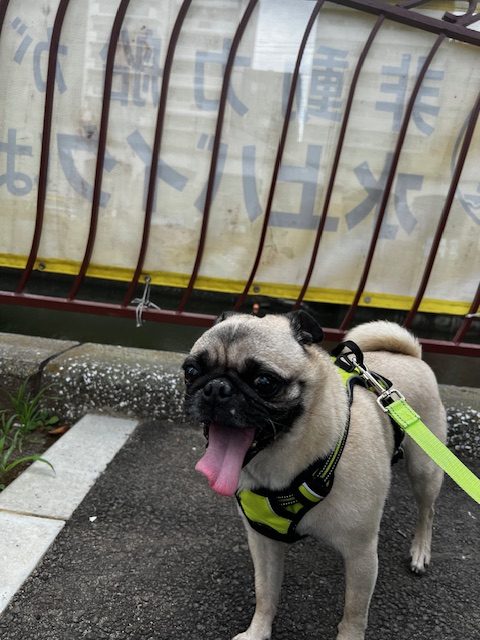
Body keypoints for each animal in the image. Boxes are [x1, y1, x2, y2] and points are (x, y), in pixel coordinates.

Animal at [182, 310, 444, 640]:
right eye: (191, 372)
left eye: (264, 382)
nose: (216, 387)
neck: (287, 463)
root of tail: (410, 355)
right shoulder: (263, 542)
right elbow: (265, 592)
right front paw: (258, 631)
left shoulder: (361, 556)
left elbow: (354, 613)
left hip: (424, 468)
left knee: (427, 511)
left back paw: (420, 552)